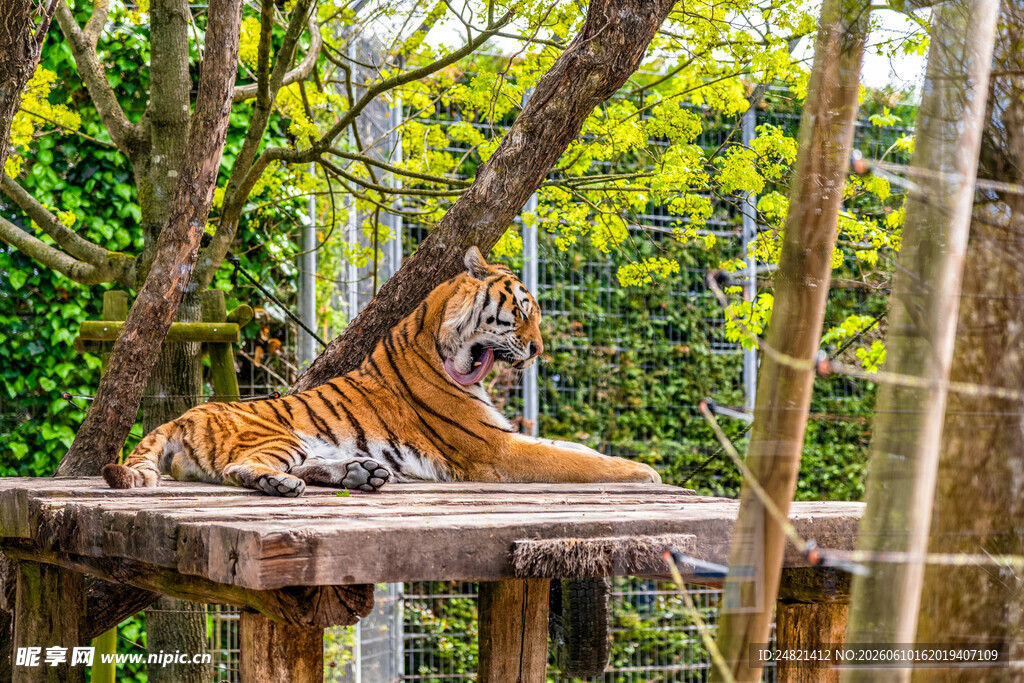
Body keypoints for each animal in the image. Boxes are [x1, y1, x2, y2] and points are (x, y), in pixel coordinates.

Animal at [101, 247, 661, 497]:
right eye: (523, 311)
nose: (539, 349)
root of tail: (180, 417)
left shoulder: (502, 435)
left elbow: (576, 448)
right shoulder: (494, 449)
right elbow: (577, 462)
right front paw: (645, 473)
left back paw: (361, 472)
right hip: (277, 435)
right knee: (243, 469)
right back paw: (283, 484)